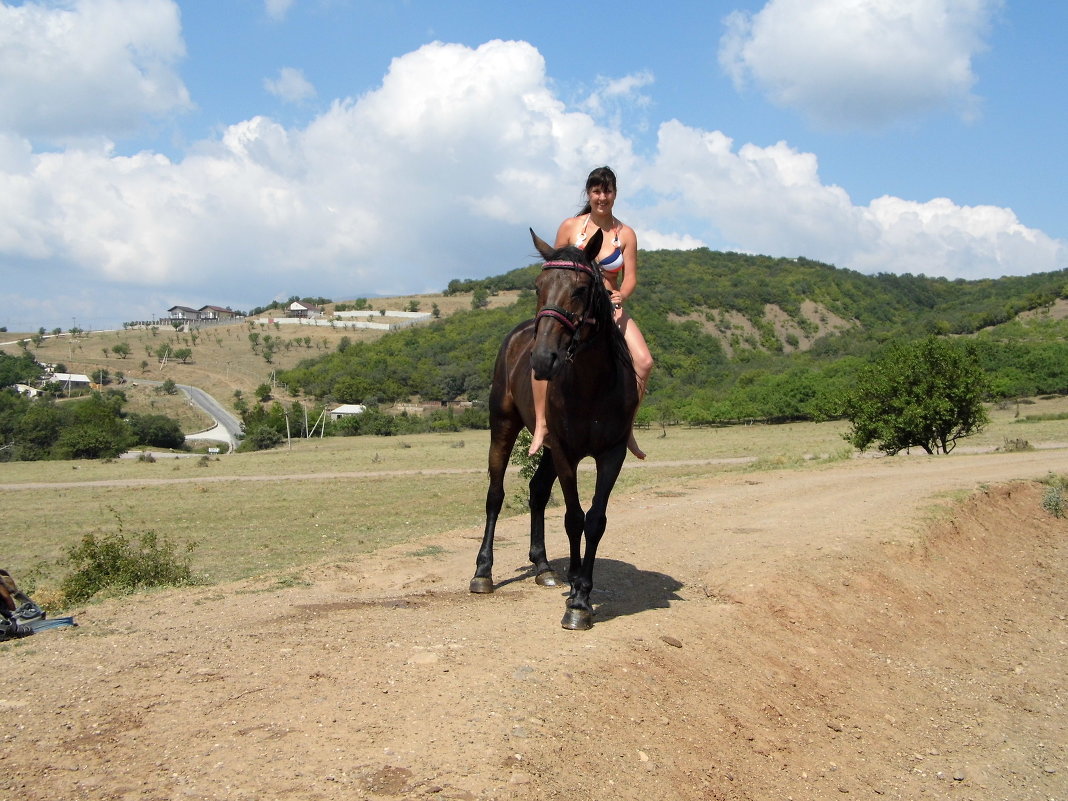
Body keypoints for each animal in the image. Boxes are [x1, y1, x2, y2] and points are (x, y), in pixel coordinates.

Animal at [469, 228, 636, 632]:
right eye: (537, 287)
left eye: (580, 289)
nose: (543, 359)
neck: (593, 384)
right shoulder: (565, 451)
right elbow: (573, 518)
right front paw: (576, 599)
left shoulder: (612, 454)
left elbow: (594, 520)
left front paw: (580, 592)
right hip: (503, 426)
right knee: (495, 495)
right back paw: (482, 573)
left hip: (544, 446)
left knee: (537, 491)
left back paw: (543, 566)